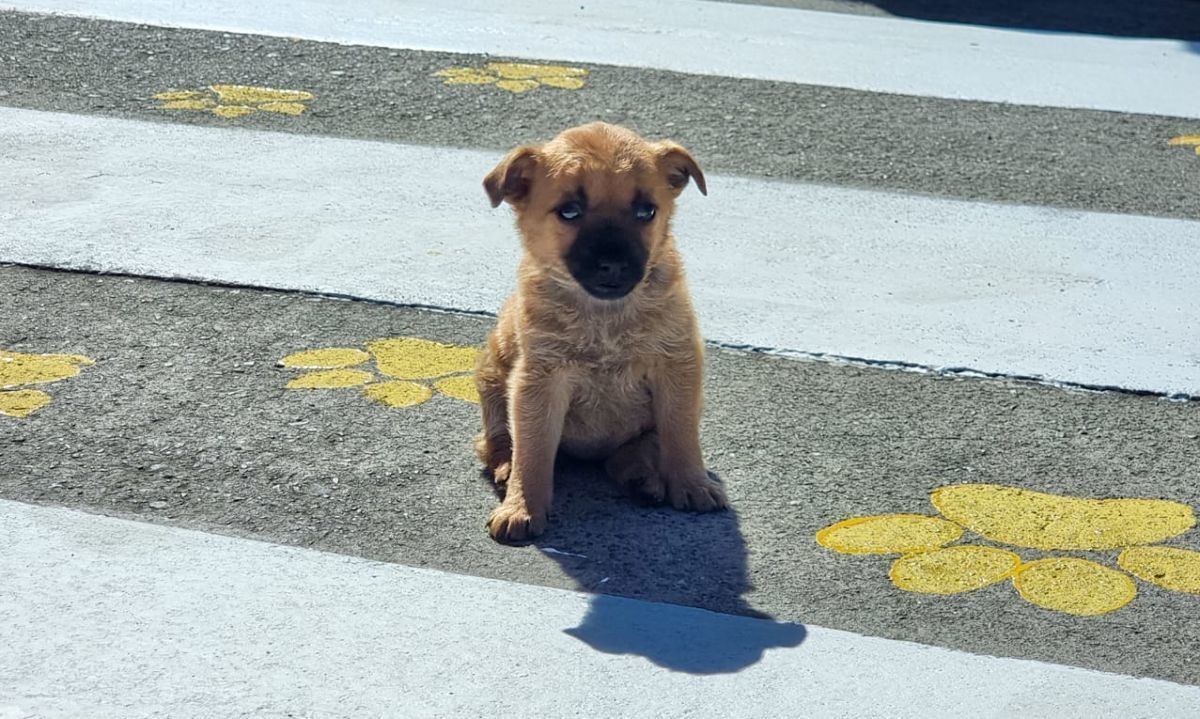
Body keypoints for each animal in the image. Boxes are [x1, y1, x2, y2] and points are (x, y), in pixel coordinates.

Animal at [472, 122, 724, 544]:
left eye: (646, 211)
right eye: (569, 211)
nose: (614, 265)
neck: (605, 319)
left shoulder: (676, 367)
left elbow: (681, 434)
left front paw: (692, 483)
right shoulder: (538, 381)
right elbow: (533, 452)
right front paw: (522, 506)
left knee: (635, 449)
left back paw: (643, 476)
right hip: (491, 375)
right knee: (496, 442)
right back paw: (506, 468)